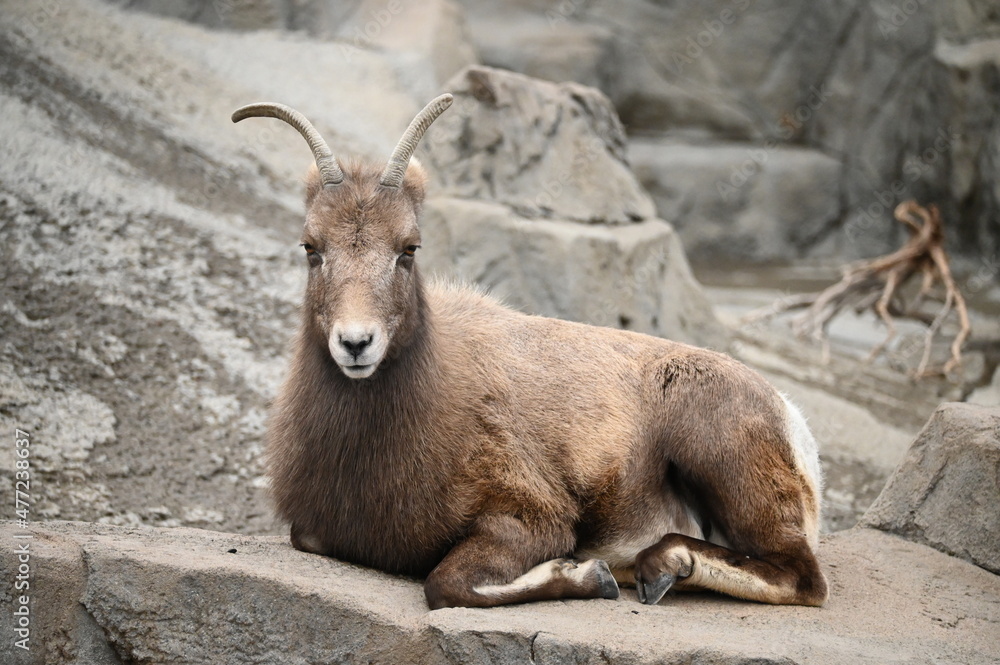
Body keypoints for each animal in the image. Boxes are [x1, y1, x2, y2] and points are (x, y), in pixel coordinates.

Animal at [232, 93, 828, 608]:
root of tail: (792, 422)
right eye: (311, 247)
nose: (356, 343)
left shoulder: (529, 514)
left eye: (409, 248)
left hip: (720, 455)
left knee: (803, 578)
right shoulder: (314, 529)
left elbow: (446, 584)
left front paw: (590, 573)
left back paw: (658, 567)